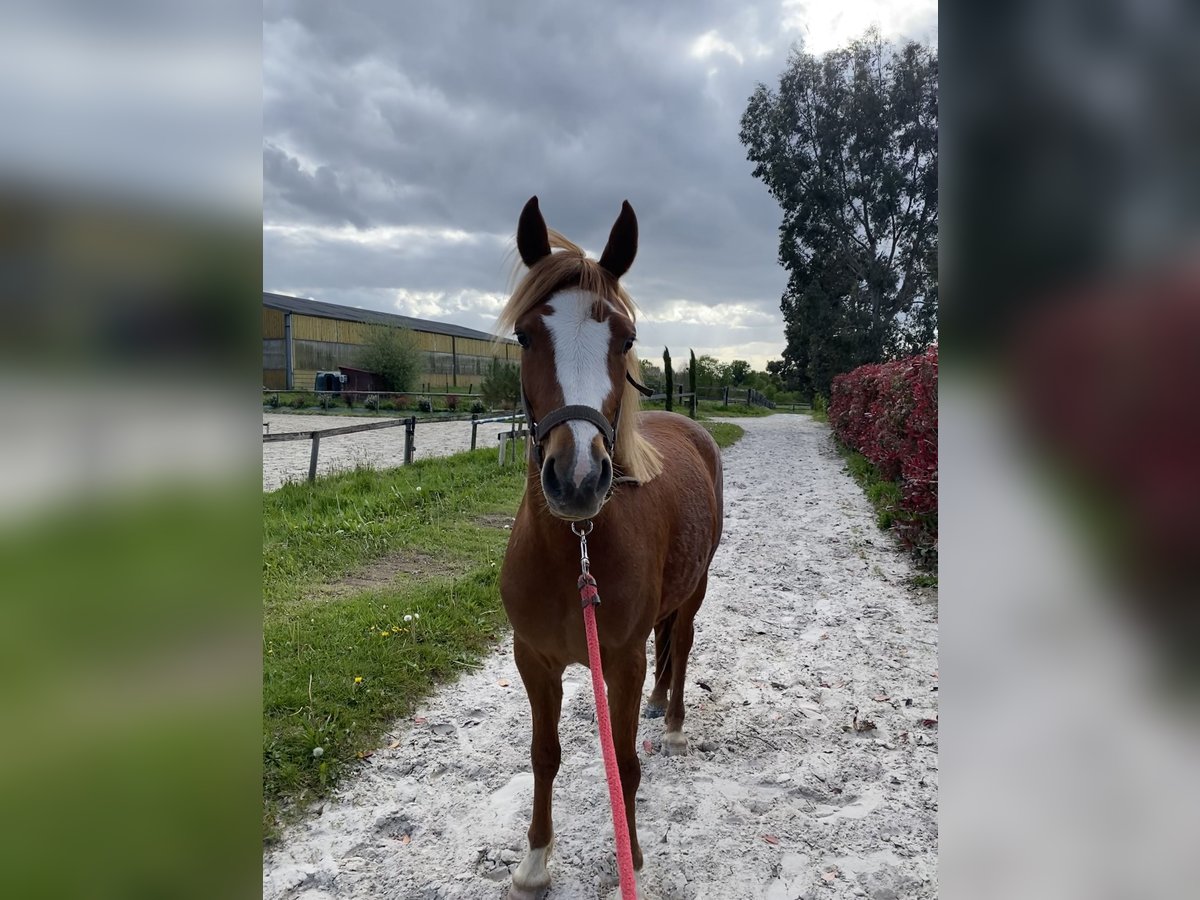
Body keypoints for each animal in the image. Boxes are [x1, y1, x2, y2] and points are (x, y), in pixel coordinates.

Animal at [496, 199, 720, 900]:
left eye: (624, 339)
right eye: (525, 337)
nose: (576, 479)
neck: (577, 554)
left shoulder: (619, 661)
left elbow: (621, 761)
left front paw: (634, 858)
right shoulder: (534, 660)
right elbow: (544, 755)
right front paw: (535, 861)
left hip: (697, 590)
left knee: (684, 642)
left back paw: (671, 724)